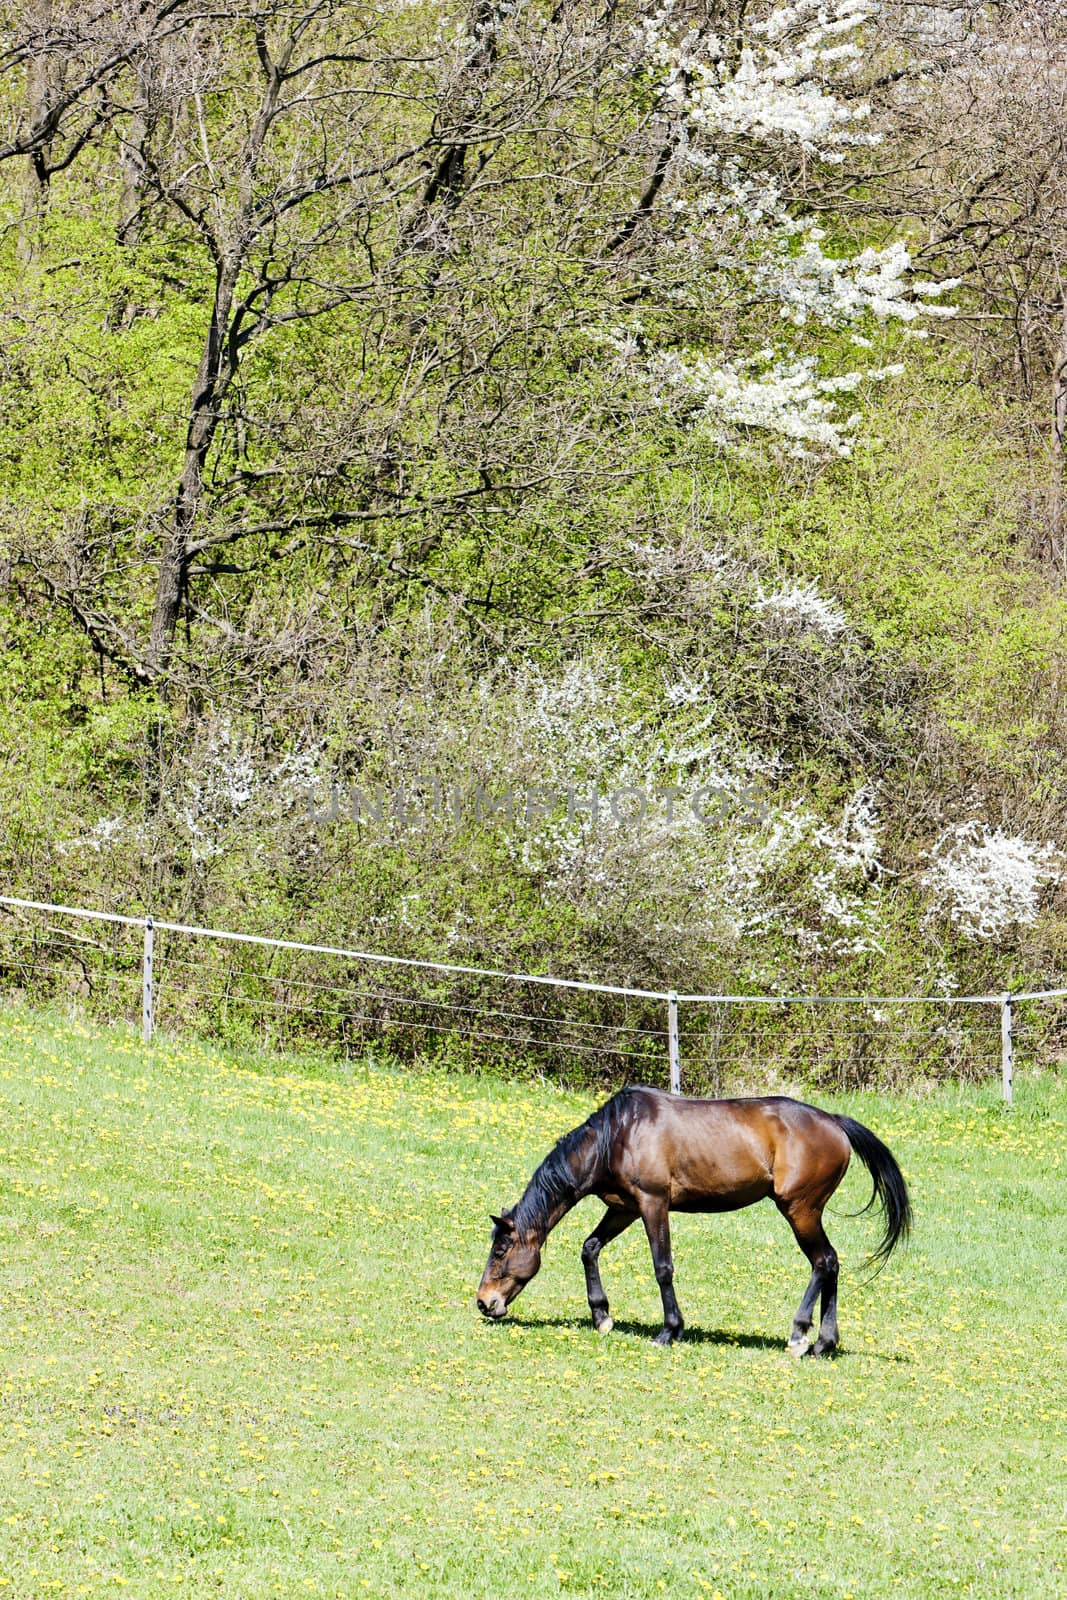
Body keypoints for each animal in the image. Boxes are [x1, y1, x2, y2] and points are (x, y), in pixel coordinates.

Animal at [479, 1081, 915, 1356]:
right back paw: (824, 1343)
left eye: (500, 1252)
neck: (617, 1134)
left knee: (823, 1262)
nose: (484, 1303)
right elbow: (589, 1248)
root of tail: (834, 1121)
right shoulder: (624, 1207)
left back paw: (798, 1336)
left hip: (800, 1211)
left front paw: (669, 1330)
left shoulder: (653, 1204)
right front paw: (602, 1316)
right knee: (832, 1264)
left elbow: (663, 1267)